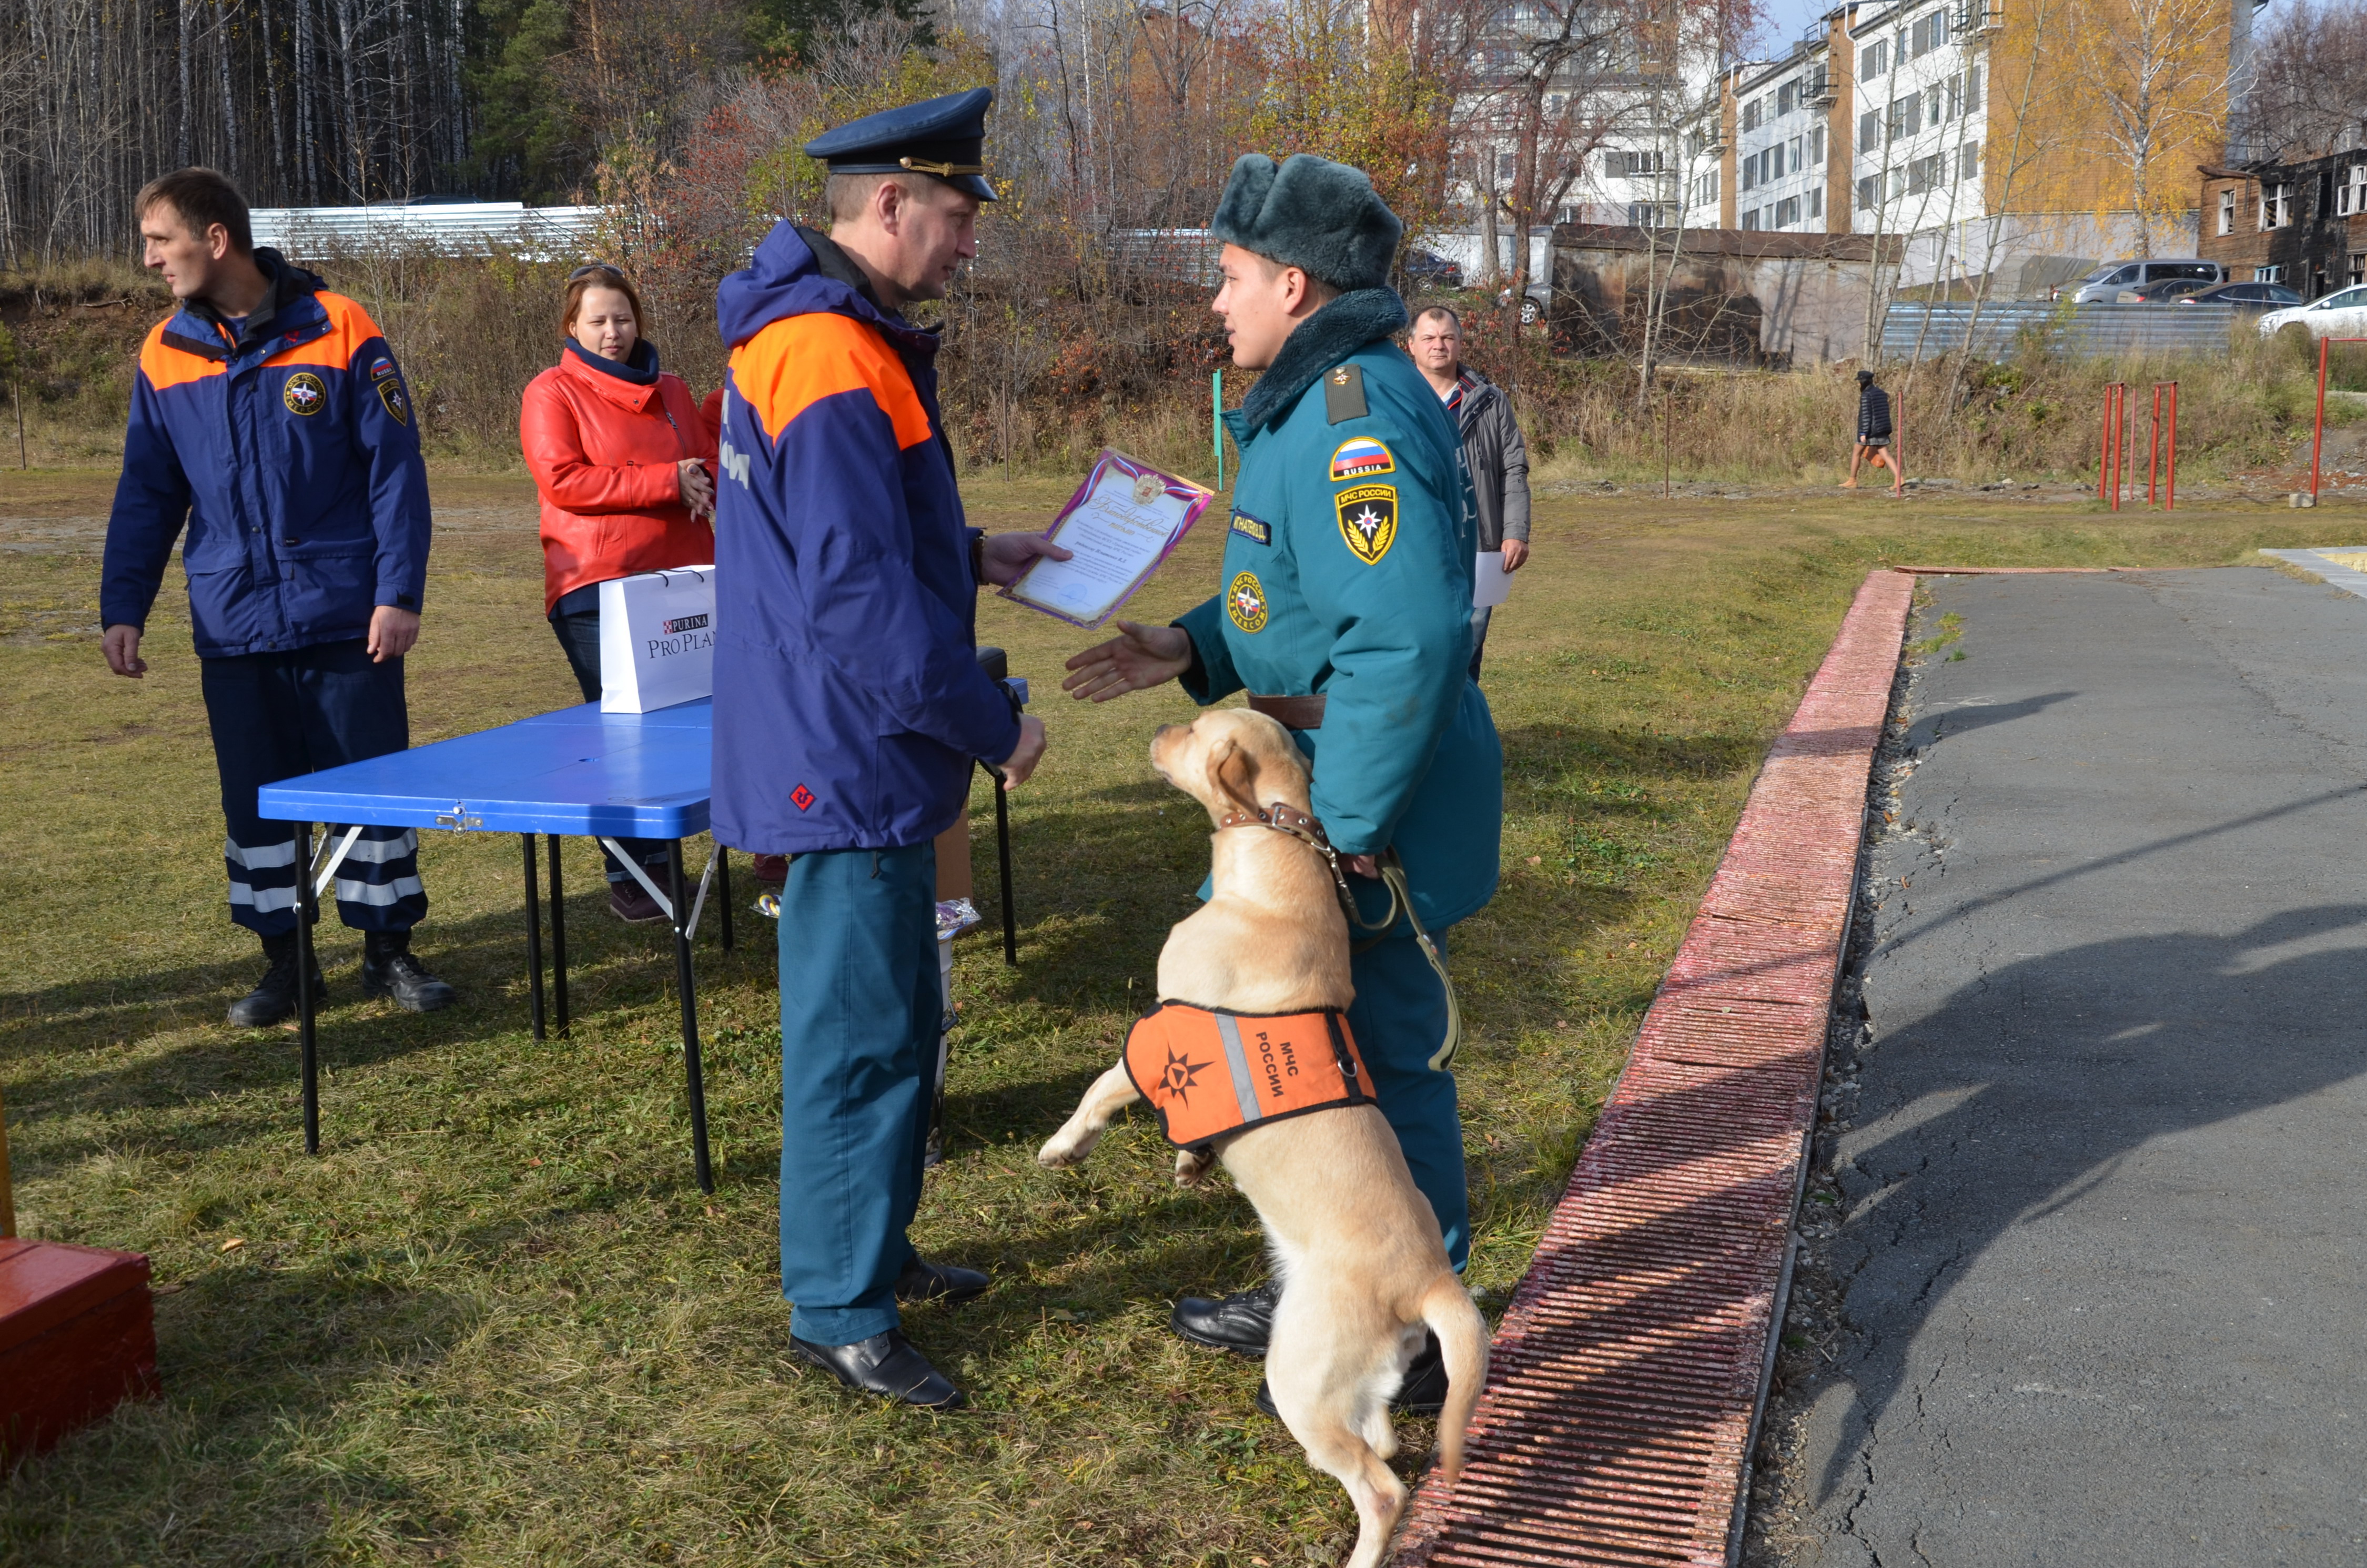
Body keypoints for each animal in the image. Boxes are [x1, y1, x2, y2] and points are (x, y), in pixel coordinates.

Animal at [1037, 715, 1477, 1568]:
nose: (1158, 725)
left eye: (1195, 727)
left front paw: (1064, 1146)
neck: (1274, 857)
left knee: (1382, 1487)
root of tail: (1433, 1281)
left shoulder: (1155, 1044)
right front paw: (1189, 1161)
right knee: (1380, 1438)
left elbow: (1095, 1091)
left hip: (1300, 1371)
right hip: (1352, 1376)